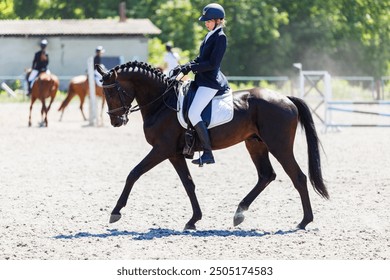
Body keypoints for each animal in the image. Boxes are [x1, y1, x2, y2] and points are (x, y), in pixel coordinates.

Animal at [96, 61, 328, 230]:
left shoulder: (162, 149)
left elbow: (134, 173)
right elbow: (188, 184)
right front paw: (193, 220)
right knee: (266, 175)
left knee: (298, 177)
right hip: (255, 144)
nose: (116, 121)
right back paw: (239, 213)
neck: (162, 103)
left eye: (112, 92)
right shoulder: (174, 154)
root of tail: (285, 99)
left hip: (278, 145)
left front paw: (115, 212)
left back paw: (304, 221)